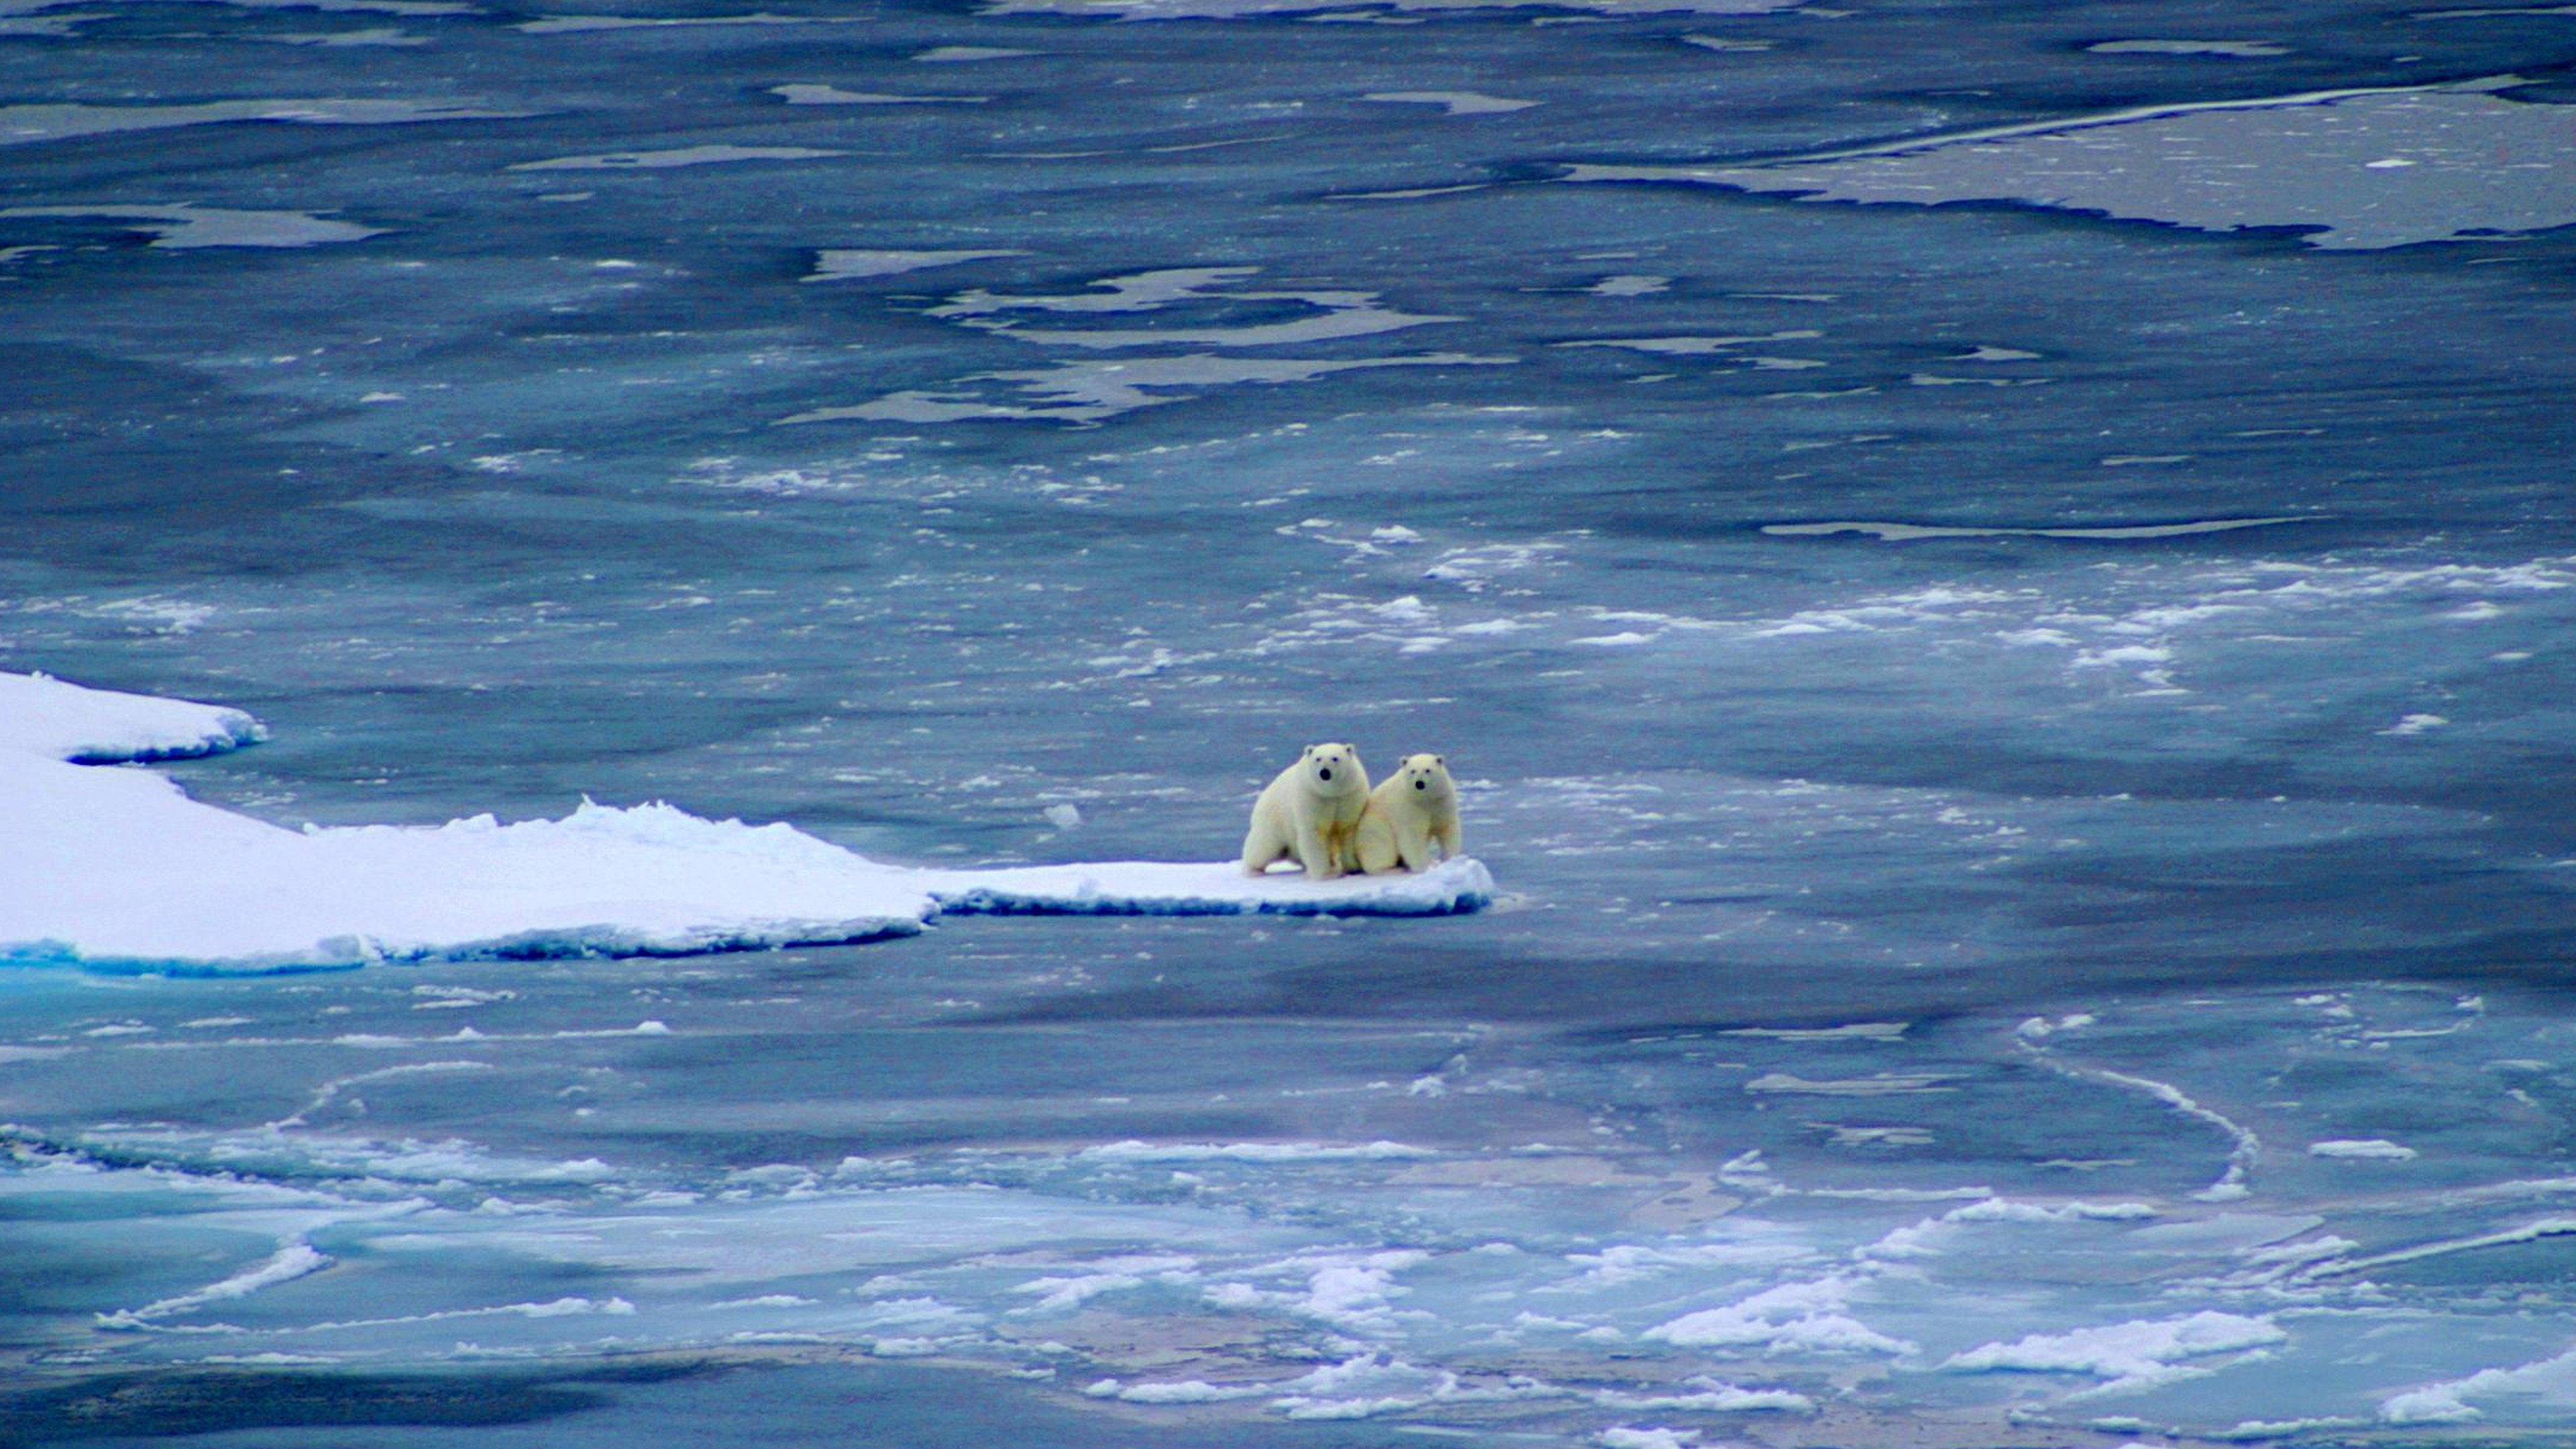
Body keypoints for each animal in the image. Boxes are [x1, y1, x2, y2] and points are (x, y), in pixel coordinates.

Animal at [1241, 743, 1371, 880]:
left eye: (1335, 758)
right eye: (1318, 759)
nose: (1325, 772)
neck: (1331, 794)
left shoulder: (1349, 796)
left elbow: (1347, 831)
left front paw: (1354, 868)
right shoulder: (1312, 798)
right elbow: (1314, 834)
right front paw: (1326, 874)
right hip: (1273, 821)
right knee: (1263, 847)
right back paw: (1253, 870)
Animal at [1353, 753, 1461, 875]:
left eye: (1428, 770)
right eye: (1413, 771)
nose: (1419, 783)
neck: (1425, 799)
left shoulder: (1442, 802)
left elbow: (1447, 829)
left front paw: (1450, 859)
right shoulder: (1409, 807)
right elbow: (1413, 837)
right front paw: (1423, 867)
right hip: (1375, 832)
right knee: (1381, 852)